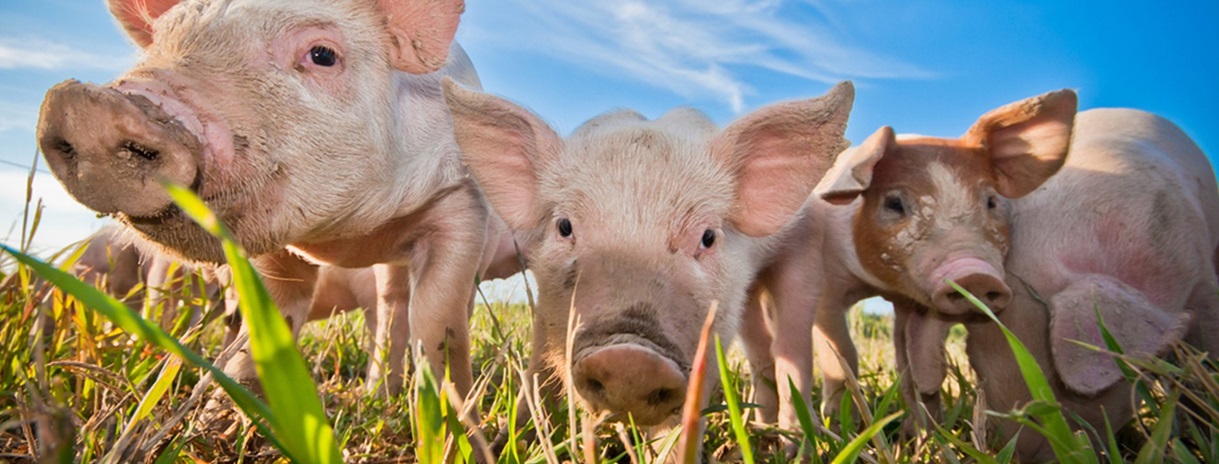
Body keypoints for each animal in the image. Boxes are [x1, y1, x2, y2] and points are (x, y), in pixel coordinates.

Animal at [32, 0, 509, 409]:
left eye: (322, 54)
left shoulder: (464, 204)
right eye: (162, 41)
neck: (347, 237)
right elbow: (273, 313)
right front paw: (231, 409)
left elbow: (440, 322)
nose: (88, 107)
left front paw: (457, 421)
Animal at [443, 76, 853, 438]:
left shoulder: (711, 333)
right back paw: (763, 427)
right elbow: (538, 372)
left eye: (707, 237)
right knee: (761, 350)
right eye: (564, 226)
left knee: (793, 349)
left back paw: (794, 441)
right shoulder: (547, 308)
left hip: (805, 255)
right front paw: (515, 437)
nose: (630, 358)